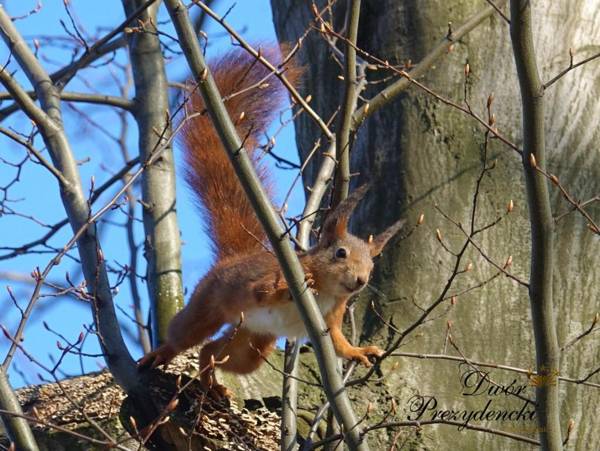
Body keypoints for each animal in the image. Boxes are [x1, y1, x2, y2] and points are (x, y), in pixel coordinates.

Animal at [138, 46, 406, 400]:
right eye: (341, 253)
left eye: (372, 265)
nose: (361, 281)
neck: (329, 291)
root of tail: (233, 259)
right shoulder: (267, 281)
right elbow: (265, 289)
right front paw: (300, 282)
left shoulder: (332, 318)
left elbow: (338, 344)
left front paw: (360, 352)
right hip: (208, 306)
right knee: (187, 335)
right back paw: (161, 354)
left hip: (251, 342)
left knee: (212, 350)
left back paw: (212, 382)